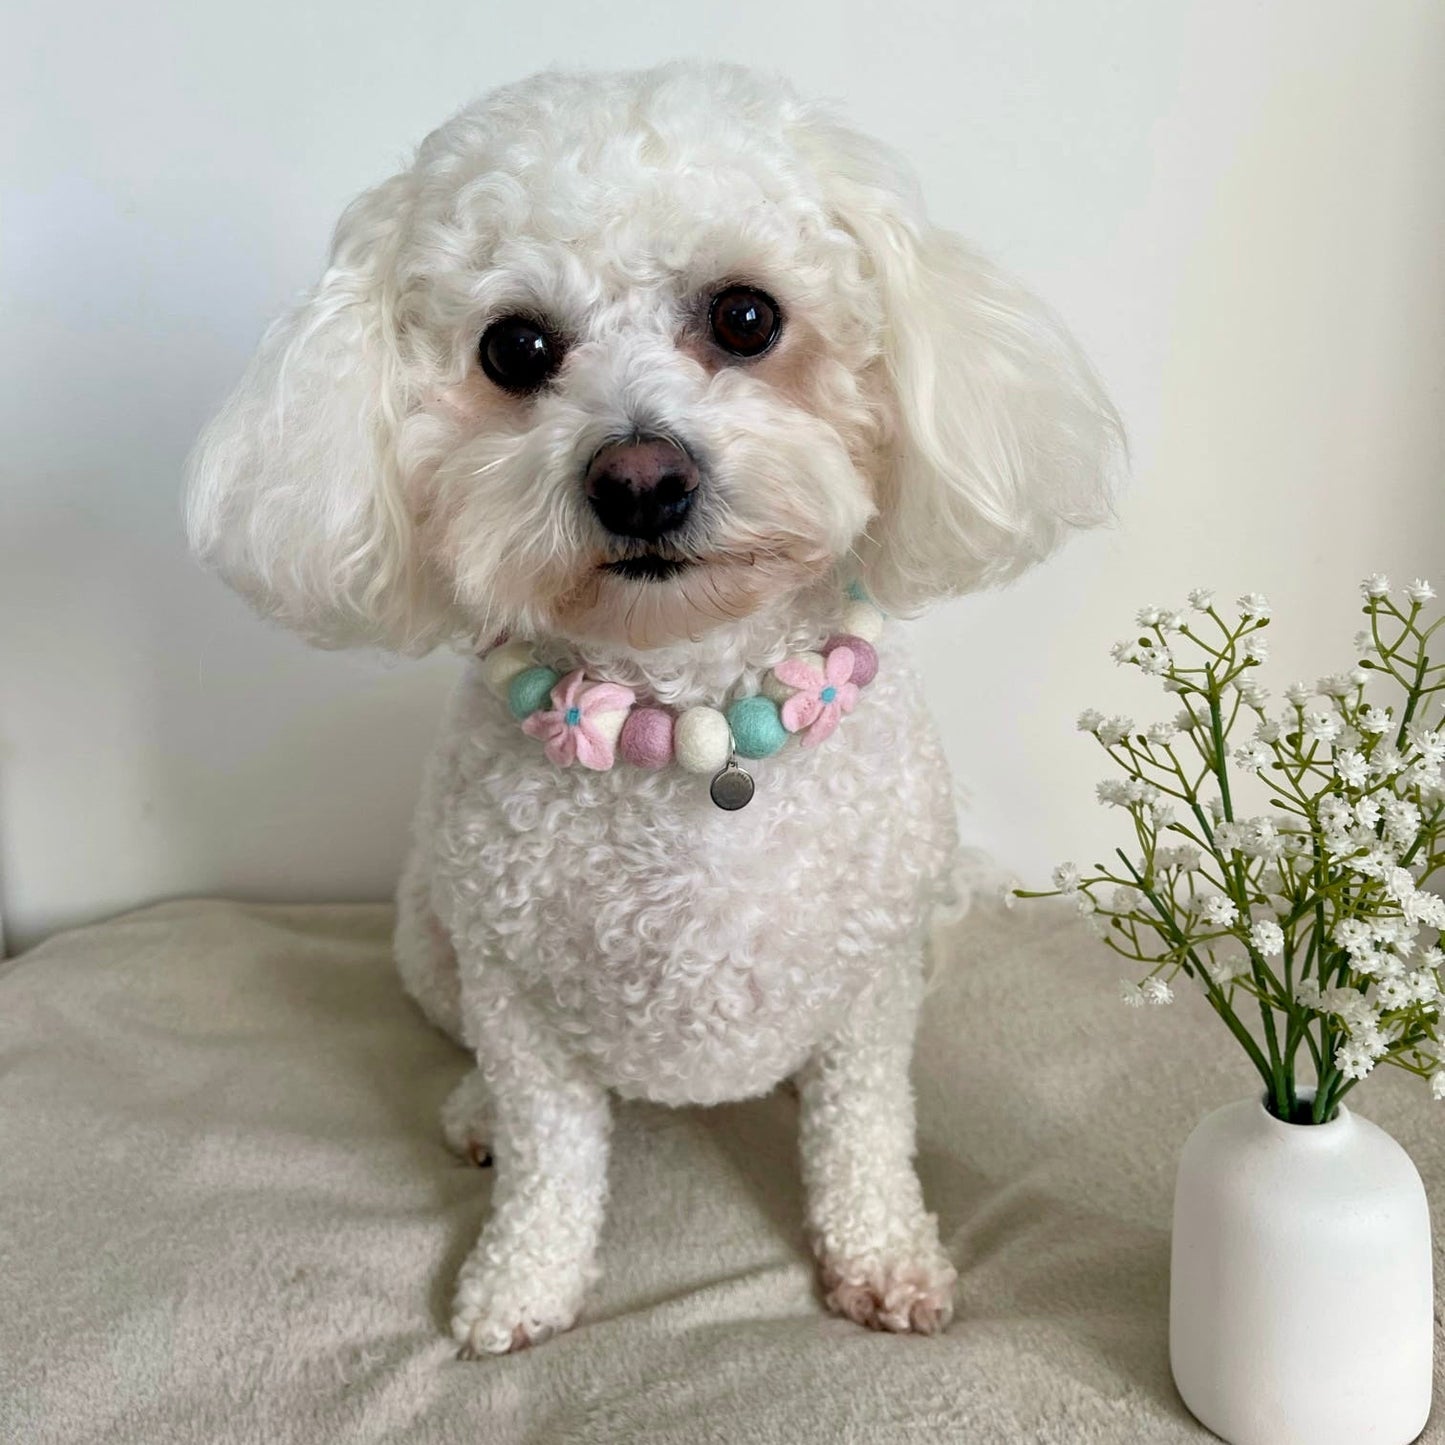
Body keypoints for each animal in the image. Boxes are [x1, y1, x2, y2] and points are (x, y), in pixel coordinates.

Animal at [189, 62, 1115, 1358]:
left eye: (746, 317)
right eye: (515, 346)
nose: (639, 479)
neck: (689, 713)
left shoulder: (873, 985)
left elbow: (863, 1134)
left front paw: (881, 1259)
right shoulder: (517, 997)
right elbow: (551, 1162)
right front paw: (516, 1286)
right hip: (429, 939)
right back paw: (473, 1113)